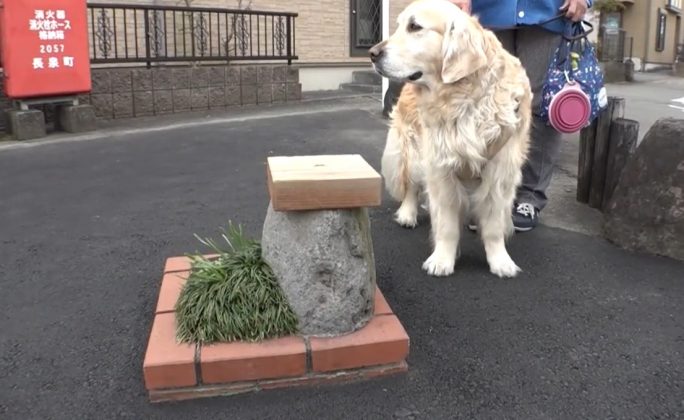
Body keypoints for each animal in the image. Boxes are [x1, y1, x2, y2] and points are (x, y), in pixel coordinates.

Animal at [372, 0, 532, 278]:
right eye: (399, 26)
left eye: (415, 27)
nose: (372, 53)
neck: (464, 97)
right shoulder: (441, 167)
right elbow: (446, 223)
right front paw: (442, 260)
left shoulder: (500, 171)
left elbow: (493, 226)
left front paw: (500, 261)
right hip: (413, 152)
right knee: (411, 185)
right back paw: (408, 213)